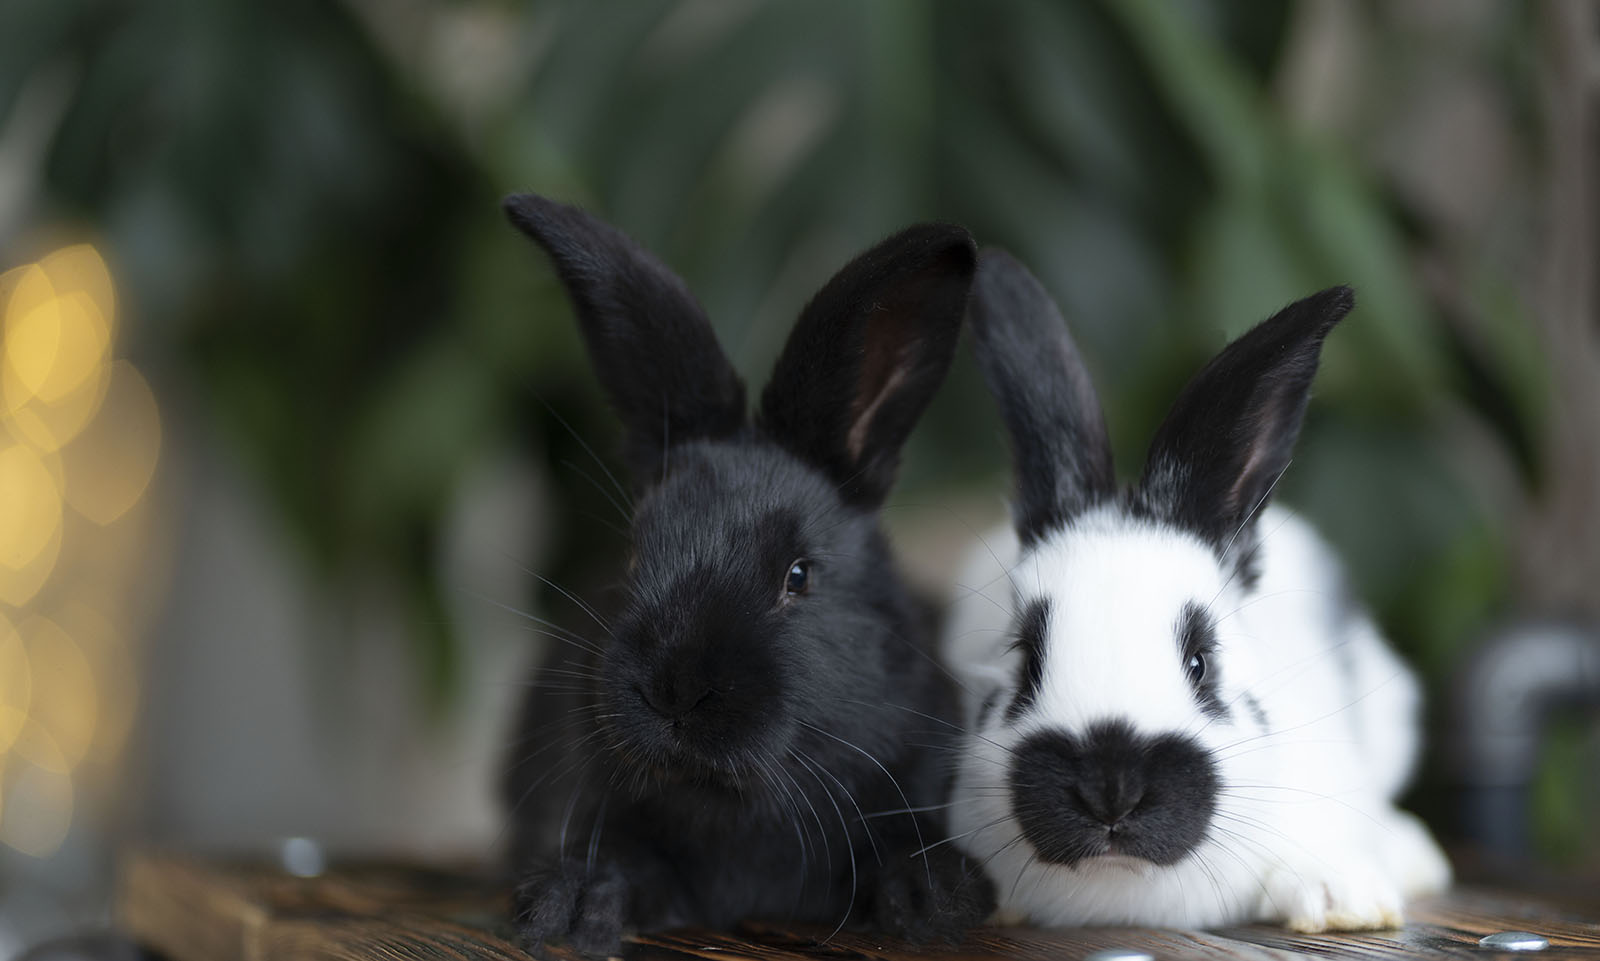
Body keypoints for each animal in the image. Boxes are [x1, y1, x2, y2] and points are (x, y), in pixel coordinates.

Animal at [499, 194, 996, 957]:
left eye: (798, 575)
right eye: (635, 555)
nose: (675, 690)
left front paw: (935, 897)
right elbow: (620, 857)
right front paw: (570, 905)